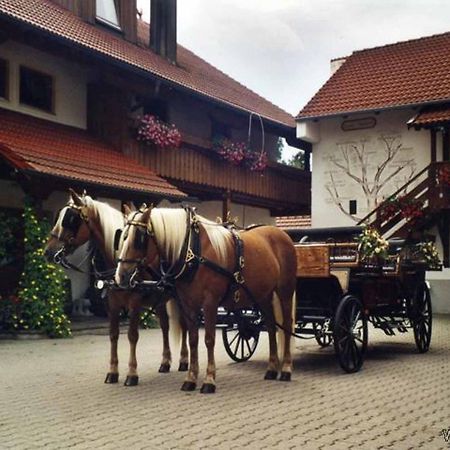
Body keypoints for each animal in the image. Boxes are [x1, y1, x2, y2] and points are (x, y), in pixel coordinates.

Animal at [43, 191, 188, 386]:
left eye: (71, 219)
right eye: (58, 216)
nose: (49, 251)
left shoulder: (135, 304)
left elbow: (132, 335)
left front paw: (132, 374)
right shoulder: (111, 304)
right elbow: (113, 335)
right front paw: (112, 372)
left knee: (184, 325)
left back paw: (184, 360)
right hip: (159, 300)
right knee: (165, 326)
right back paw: (165, 362)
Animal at [114, 206, 298, 392]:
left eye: (139, 238)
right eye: (122, 237)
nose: (121, 276)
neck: (193, 250)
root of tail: (283, 235)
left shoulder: (210, 303)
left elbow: (209, 339)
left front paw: (209, 380)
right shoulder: (188, 304)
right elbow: (193, 339)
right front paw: (190, 378)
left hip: (285, 291)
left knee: (287, 325)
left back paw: (286, 369)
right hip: (264, 296)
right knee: (271, 326)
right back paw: (271, 369)